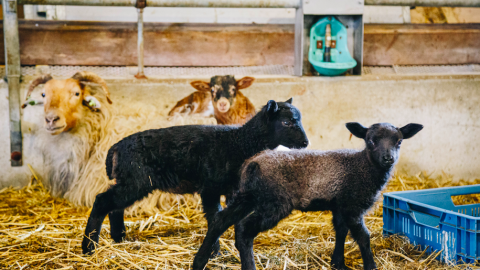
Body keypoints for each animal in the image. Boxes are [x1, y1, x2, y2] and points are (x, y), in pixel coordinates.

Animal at [81, 98, 312, 254]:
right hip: (135, 181)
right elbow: (214, 217)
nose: (305, 143)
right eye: (286, 123)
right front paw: (214, 251)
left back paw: (118, 238)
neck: (241, 142)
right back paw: (89, 247)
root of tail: (116, 148)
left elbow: (232, 218)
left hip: (130, 181)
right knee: (102, 201)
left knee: (115, 207)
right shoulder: (210, 188)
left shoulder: (233, 190)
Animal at [193, 122, 422, 270]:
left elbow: (340, 232)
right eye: (371, 141)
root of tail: (253, 163)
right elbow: (363, 237)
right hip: (274, 202)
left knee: (220, 221)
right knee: (244, 229)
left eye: (399, 142)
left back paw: (199, 262)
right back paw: (248, 267)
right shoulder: (352, 205)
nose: (388, 158)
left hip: (248, 195)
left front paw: (338, 264)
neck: (363, 166)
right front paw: (371, 266)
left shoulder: (339, 206)